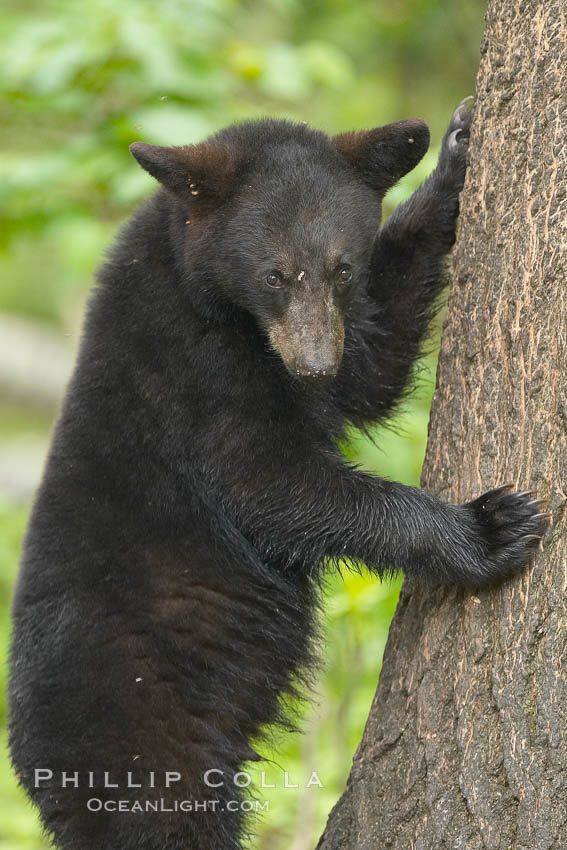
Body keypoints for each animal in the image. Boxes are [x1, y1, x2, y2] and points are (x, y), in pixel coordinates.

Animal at [7, 101, 552, 848]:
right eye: (274, 273)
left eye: (341, 268)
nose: (315, 364)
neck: (204, 294)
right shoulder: (195, 374)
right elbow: (271, 485)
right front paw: (491, 528)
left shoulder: (325, 339)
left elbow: (372, 365)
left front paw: (455, 161)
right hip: (138, 737)